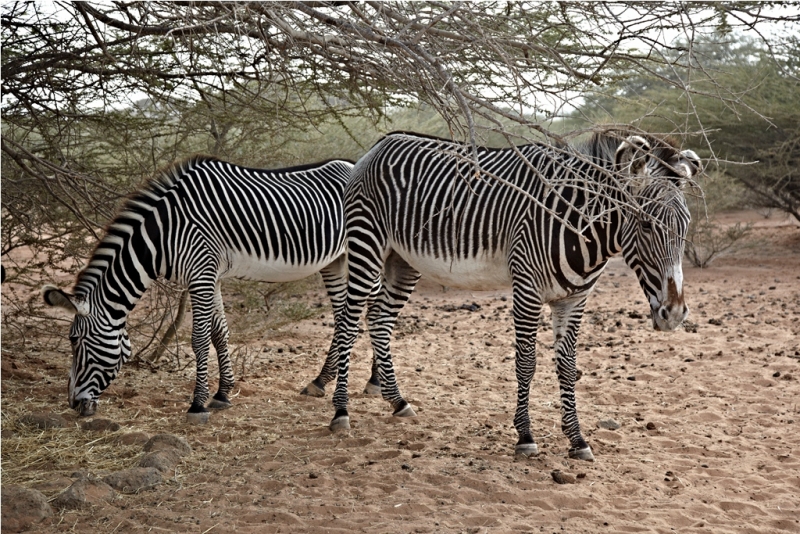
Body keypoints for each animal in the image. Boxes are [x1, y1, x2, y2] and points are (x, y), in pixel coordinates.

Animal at [43, 157, 388, 426]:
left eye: (75, 341)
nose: (74, 404)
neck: (164, 235)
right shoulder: (212, 276)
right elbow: (219, 333)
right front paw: (222, 394)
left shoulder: (201, 274)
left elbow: (198, 339)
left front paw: (197, 405)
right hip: (334, 260)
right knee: (345, 318)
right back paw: (320, 381)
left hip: (362, 254)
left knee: (374, 306)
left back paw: (374, 380)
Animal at [324, 129, 700, 460]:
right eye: (647, 225)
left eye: (685, 228)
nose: (675, 313)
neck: (579, 225)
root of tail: (379, 144)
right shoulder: (527, 289)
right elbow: (526, 362)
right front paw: (526, 436)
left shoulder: (574, 299)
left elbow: (568, 367)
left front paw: (577, 440)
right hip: (366, 242)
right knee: (348, 321)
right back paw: (340, 411)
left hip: (402, 259)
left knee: (379, 319)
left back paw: (398, 401)